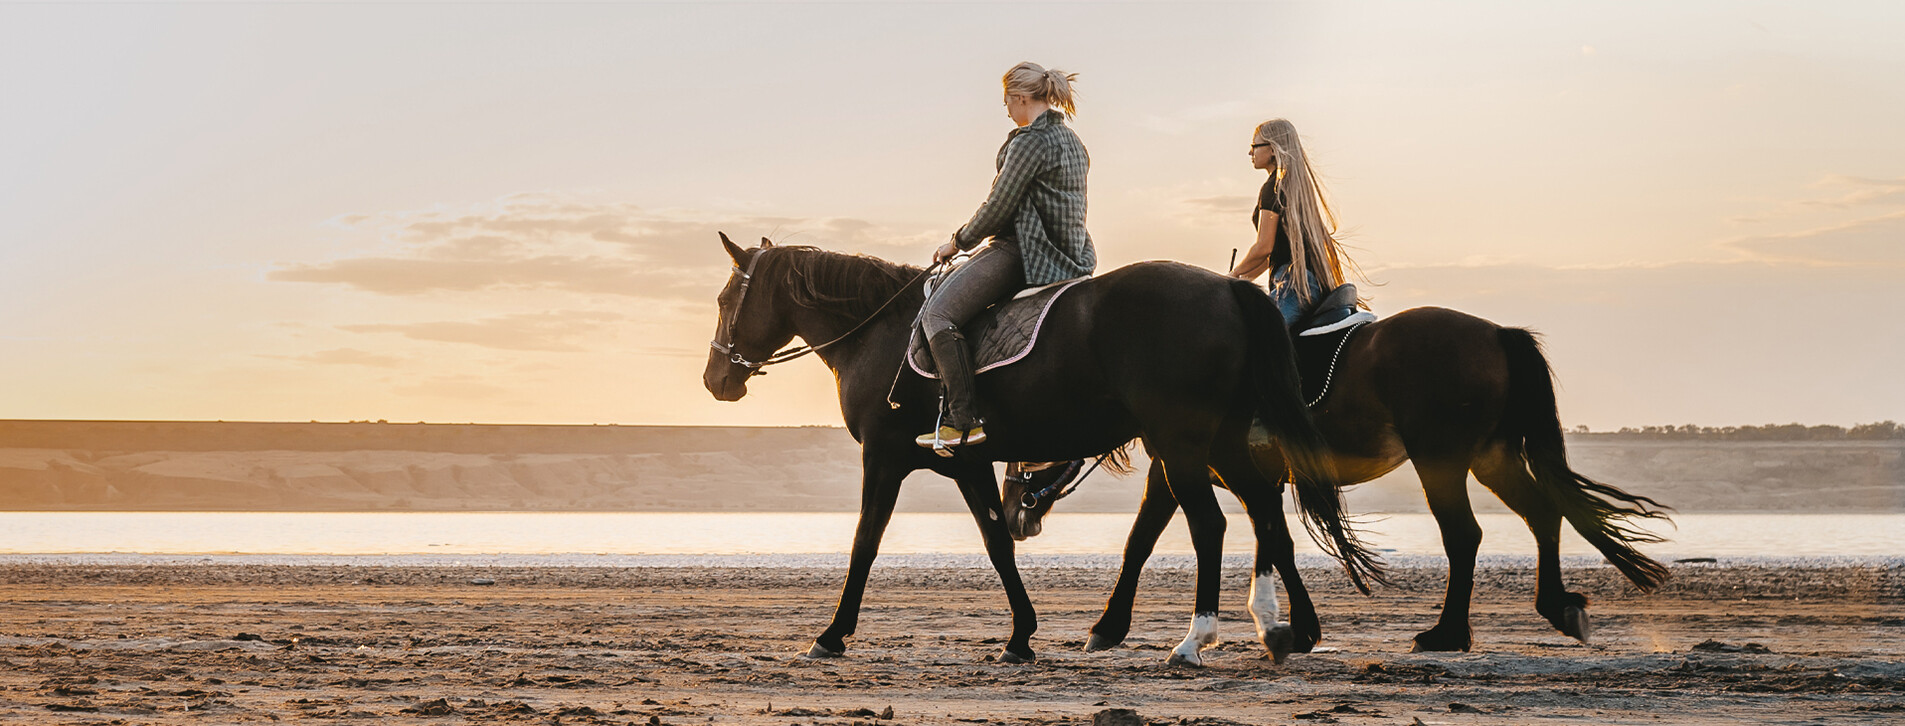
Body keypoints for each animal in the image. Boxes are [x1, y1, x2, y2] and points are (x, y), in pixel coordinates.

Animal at [704, 234, 1386, 663]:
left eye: (723, 299)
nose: (715, 380)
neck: (880, 332)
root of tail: (1226, 289)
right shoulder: (971, 463)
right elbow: (997, 544)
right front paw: (1021, 637)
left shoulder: (886, 455)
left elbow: (864, 543)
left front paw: (832, 634)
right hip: (1219, 444)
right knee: (1267, 514)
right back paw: (1294, 630)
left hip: (1184, 445)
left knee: (1212, 526)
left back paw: (1195, 641)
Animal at [1005, 304, 1676, 651]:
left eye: (1022, 461)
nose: (1013, 516)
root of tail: (1494, 333)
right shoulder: (1244, 474)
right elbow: (1267, 539)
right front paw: (1272, 620)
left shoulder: (1179, 467)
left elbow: (1142, 540)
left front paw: (1109, 626)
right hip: (1492, 457)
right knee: (1543, 513)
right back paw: (1556, 607)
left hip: (1441, 460)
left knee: (1465, 536)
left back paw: (1448, 632)